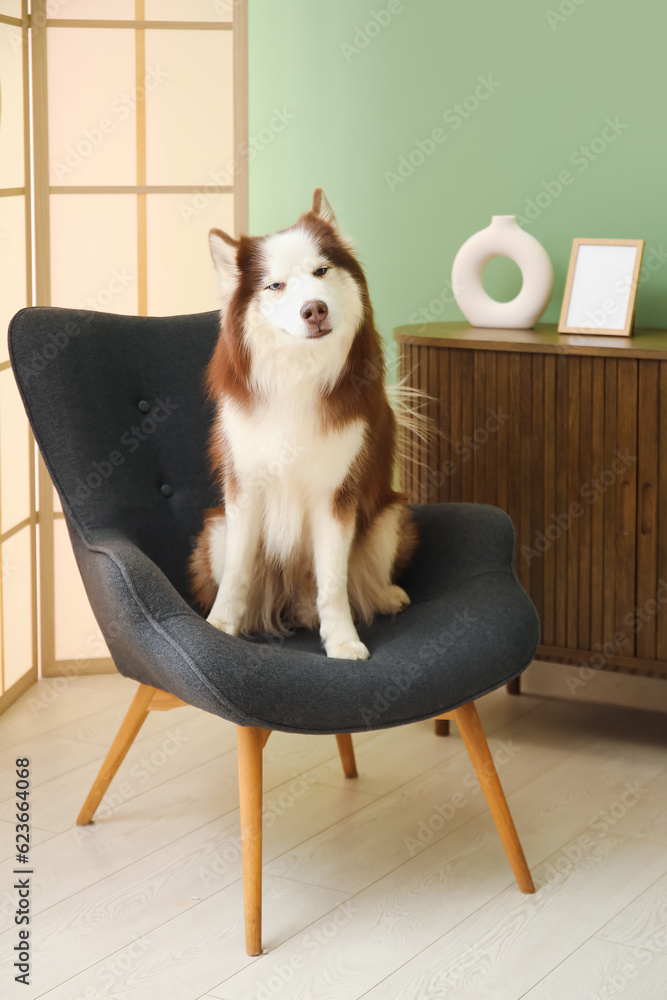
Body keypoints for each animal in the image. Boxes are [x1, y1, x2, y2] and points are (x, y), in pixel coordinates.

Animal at [189, 190, 418, 660]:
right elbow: (237, 573)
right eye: (275, 285)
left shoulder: (336, 494)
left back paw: (385, 596)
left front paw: (343, 640)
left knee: (362, 580)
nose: (314, 309)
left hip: (390, 517)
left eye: (321, 271)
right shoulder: (245, 488)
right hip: (215, 531)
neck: (299, 370)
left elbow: (333, 582)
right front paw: (221, 625)